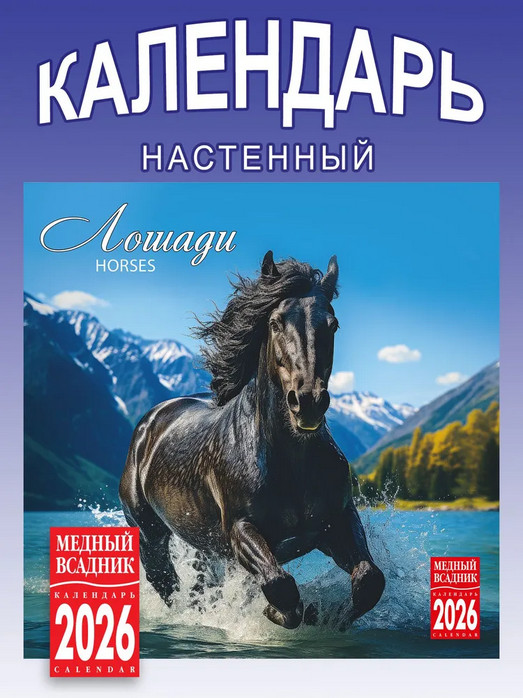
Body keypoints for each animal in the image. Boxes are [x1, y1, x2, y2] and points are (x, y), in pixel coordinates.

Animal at [119, 252, 385, 629]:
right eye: (275, 322)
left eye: (332, 324)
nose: (308, 402)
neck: (287, 462)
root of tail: (150, 422)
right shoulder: (241, 529)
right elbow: (279, 584)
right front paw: (280, 612)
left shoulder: (337, 520)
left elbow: (369, 580)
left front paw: (326, 615)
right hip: (148, 534)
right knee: (168, 586)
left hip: (204, 545)